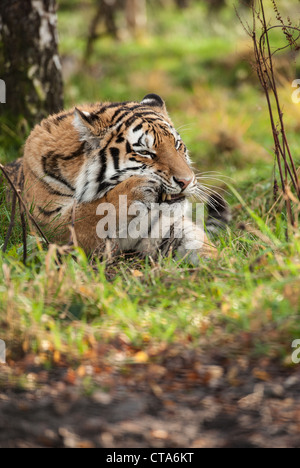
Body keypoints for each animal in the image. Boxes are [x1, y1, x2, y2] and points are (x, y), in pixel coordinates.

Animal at [4, 94, 230, 264]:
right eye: (145, 152)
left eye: (176, 145)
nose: (186, 181)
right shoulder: (49, 226)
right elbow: (92, 212)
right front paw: (135, 188)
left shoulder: (164, 225)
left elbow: (197, 241)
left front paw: (222, 265)